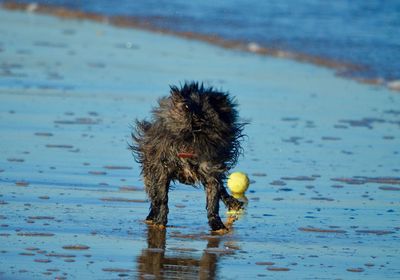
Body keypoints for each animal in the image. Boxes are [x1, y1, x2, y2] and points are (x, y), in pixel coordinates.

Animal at [132, 82, 244, 231]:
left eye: (208, 121)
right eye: (185, 108)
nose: (195, 117)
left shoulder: (211, 170)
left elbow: (213, 200)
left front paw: (217, 224)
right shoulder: (162, 169)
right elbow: (161, 197)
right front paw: (160, 220)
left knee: (221, 188)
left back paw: (232, 202)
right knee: (153, 193)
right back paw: (152, 215)